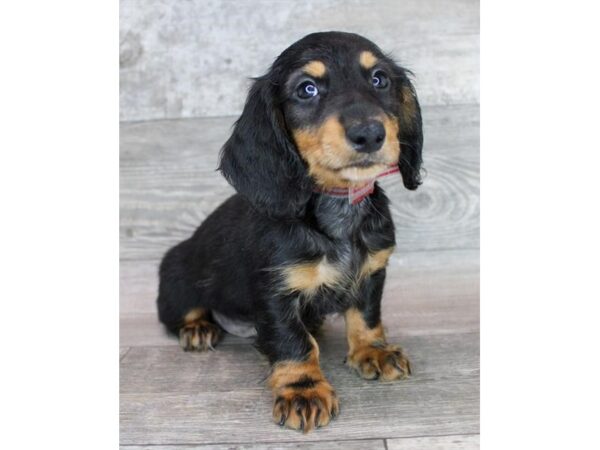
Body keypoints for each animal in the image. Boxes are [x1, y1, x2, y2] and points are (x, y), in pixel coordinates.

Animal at [157, 31, 424, 432]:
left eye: (379, 79)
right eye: (307, 89)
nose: (370, 134)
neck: (337, 207)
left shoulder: (372, 272)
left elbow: (366, 317)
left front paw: (372, 351)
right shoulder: (275, 293)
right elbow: (293, 341)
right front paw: (304, 390)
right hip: (177, 279)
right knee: (182, 313)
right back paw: (198, 328)